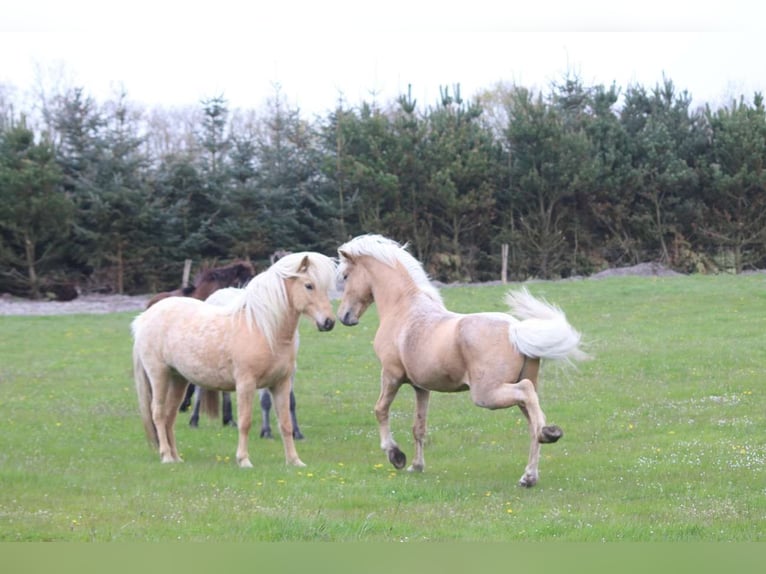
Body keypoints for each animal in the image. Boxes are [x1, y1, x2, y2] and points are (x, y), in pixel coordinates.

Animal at [134, 252, 338, 468]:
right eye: (309, 285)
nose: (328, 322)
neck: (262, 328)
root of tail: (145, 317)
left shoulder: (281, 384)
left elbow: (285, 423)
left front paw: (294, 461)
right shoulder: (246, 384)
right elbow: (245, 422)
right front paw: (244, 460)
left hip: (178, 379)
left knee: (169, 416)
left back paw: (176, 458)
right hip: (159, 375)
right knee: (158, 413)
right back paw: (165, 456)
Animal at [338, 236, 588, 488]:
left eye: (346, 276)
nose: (344, 317)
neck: (404, 309)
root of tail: (515, 330)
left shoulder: (391, 375)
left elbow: (380, 410)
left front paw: (396, 456)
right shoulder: (421, 387)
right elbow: (419, 427)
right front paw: (416, 466)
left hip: (487, 394)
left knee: (527, 395)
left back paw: (542, 446)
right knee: (533, 421)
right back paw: (532, 469)